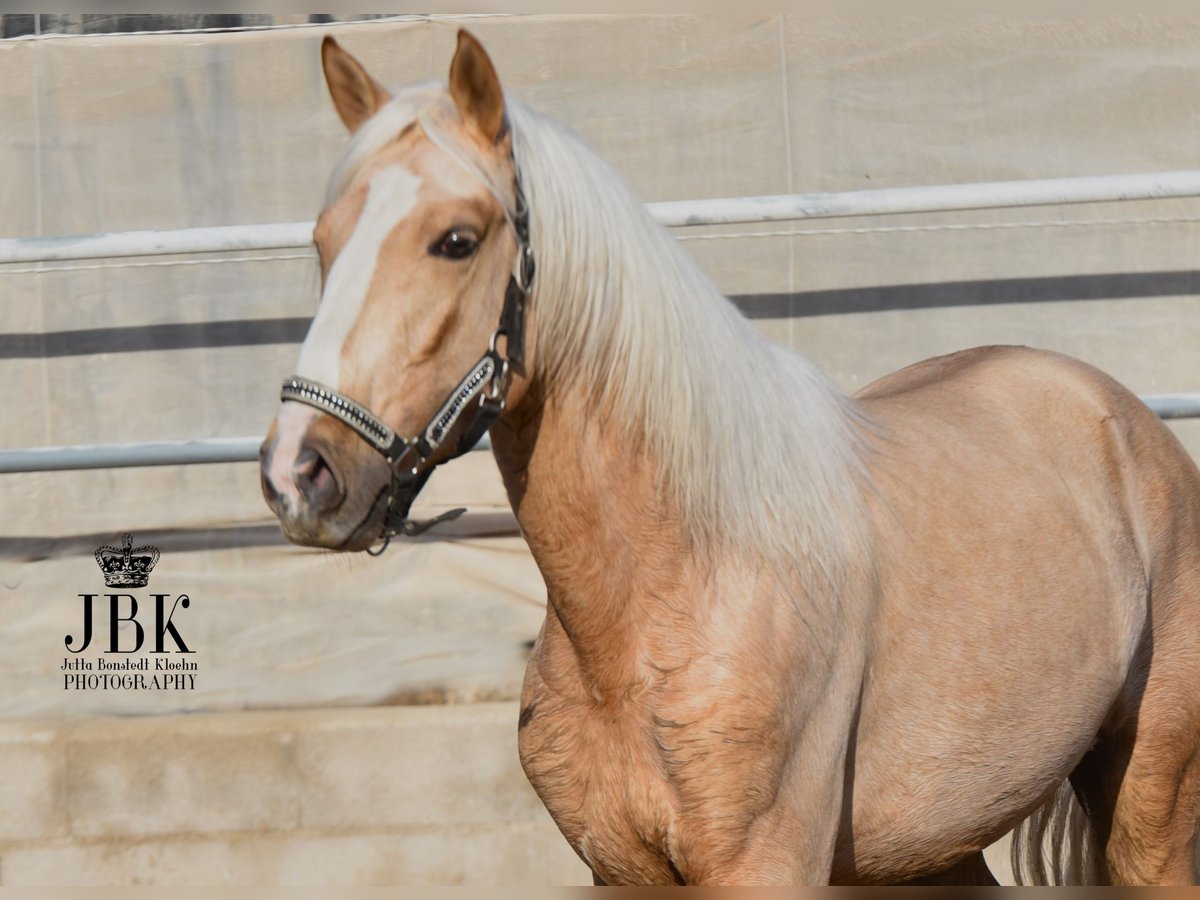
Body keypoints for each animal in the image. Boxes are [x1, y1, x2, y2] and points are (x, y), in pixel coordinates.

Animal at [262, 30, 1200, 888]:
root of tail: (1122, 417)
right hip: (931, 850)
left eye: (456, 240)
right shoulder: (622, 873)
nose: (298, 474)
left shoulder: (764, 867)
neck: (673, 592)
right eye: (324, 240)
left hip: (1147, 810)